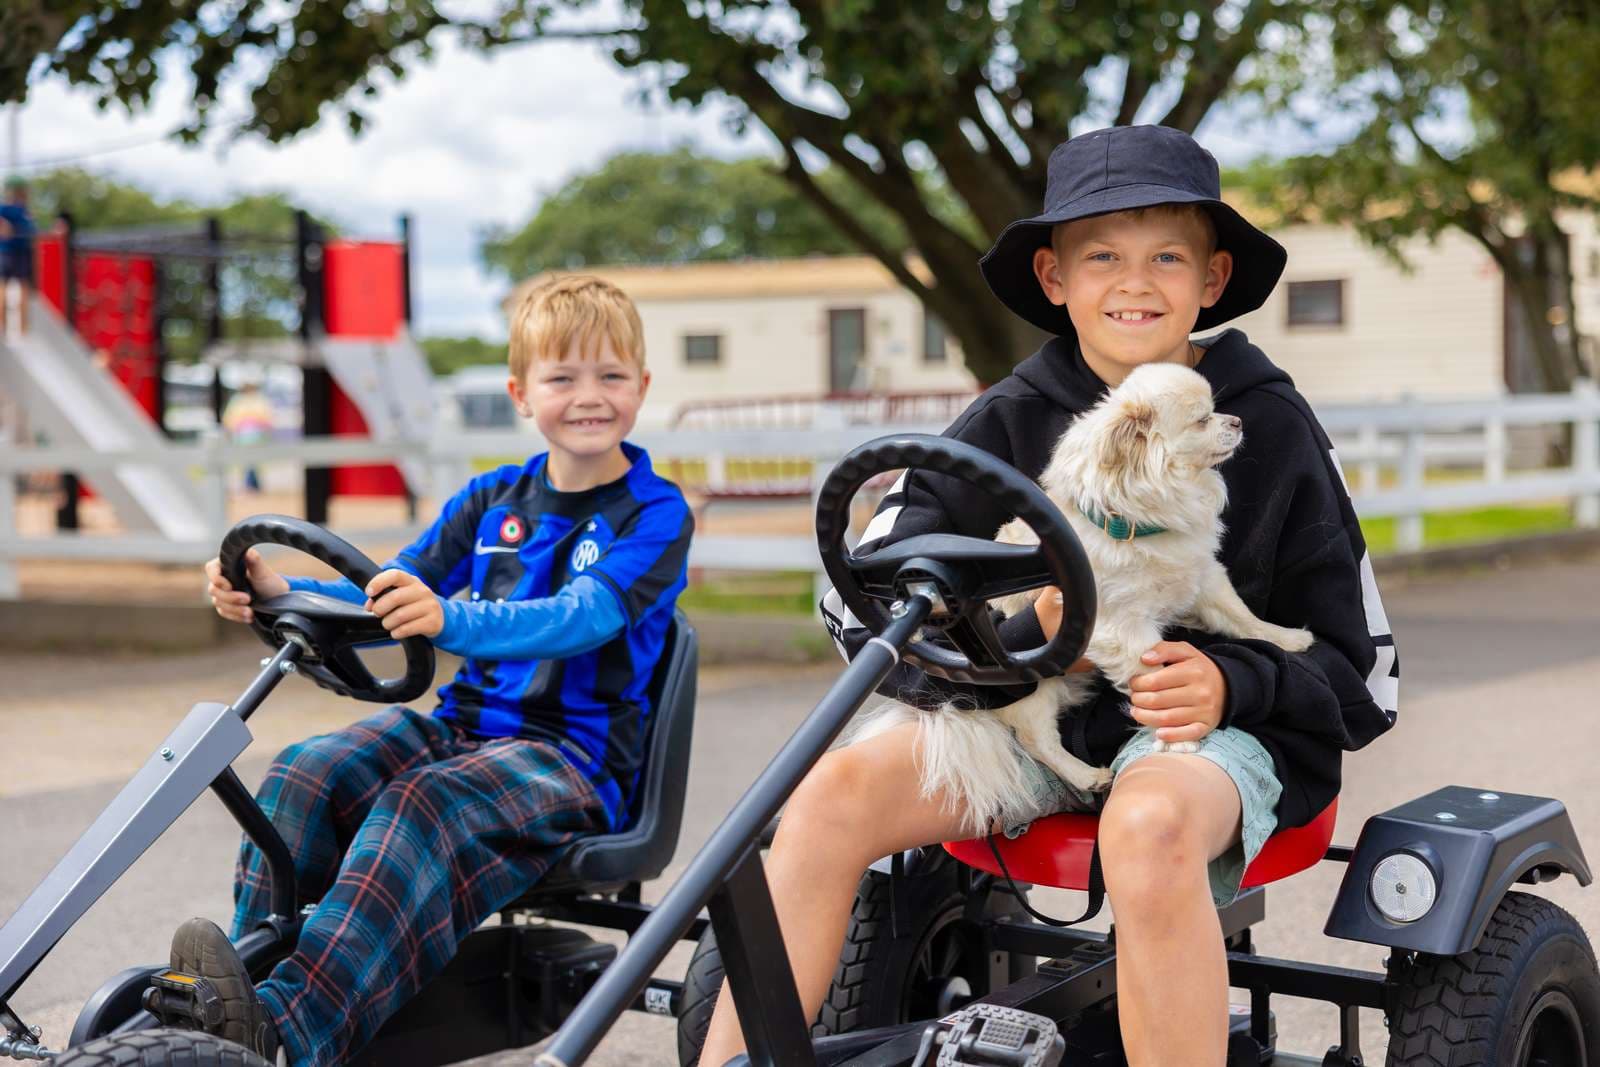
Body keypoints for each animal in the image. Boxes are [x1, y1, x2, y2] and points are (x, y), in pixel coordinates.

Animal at [851, 363, 1312, 838]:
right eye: (1203, 419)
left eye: (1218, 409)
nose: (1236, 421)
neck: (1139, 524)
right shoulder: (1124, 631)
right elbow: (1155, 678)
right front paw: (1180, 737)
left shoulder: (1202, 577)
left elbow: (1239, 614)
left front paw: (1286, 638)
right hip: (1034, 688)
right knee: (1037, 738)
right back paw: (1087, 774)